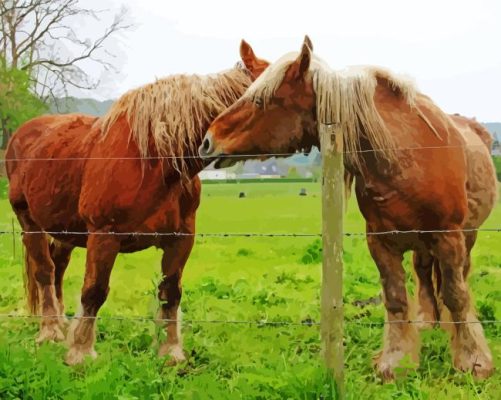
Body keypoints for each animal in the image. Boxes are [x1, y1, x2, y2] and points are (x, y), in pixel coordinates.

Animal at [4, 40, 266, 366]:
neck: (157, 162)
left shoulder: (181, 239)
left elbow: (170, 293)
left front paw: (171, 353)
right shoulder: (103, 235)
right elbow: (94, 292)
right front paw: (80, 353)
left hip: (65, 229)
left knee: (58, 266)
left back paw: (61, 324)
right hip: (30, 223)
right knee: (45, 270)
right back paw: (50, 331)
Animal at [201, 37, 498, 382]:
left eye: (262, 100)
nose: (207, 142)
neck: (406, 157)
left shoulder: (448, 237)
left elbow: (456, 293)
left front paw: (473, 360)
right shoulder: (380, 242)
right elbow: (396, 298)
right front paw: (396, 361)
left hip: (466, 235)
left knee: (458, 276)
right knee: (424, 274)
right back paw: (427, 321)